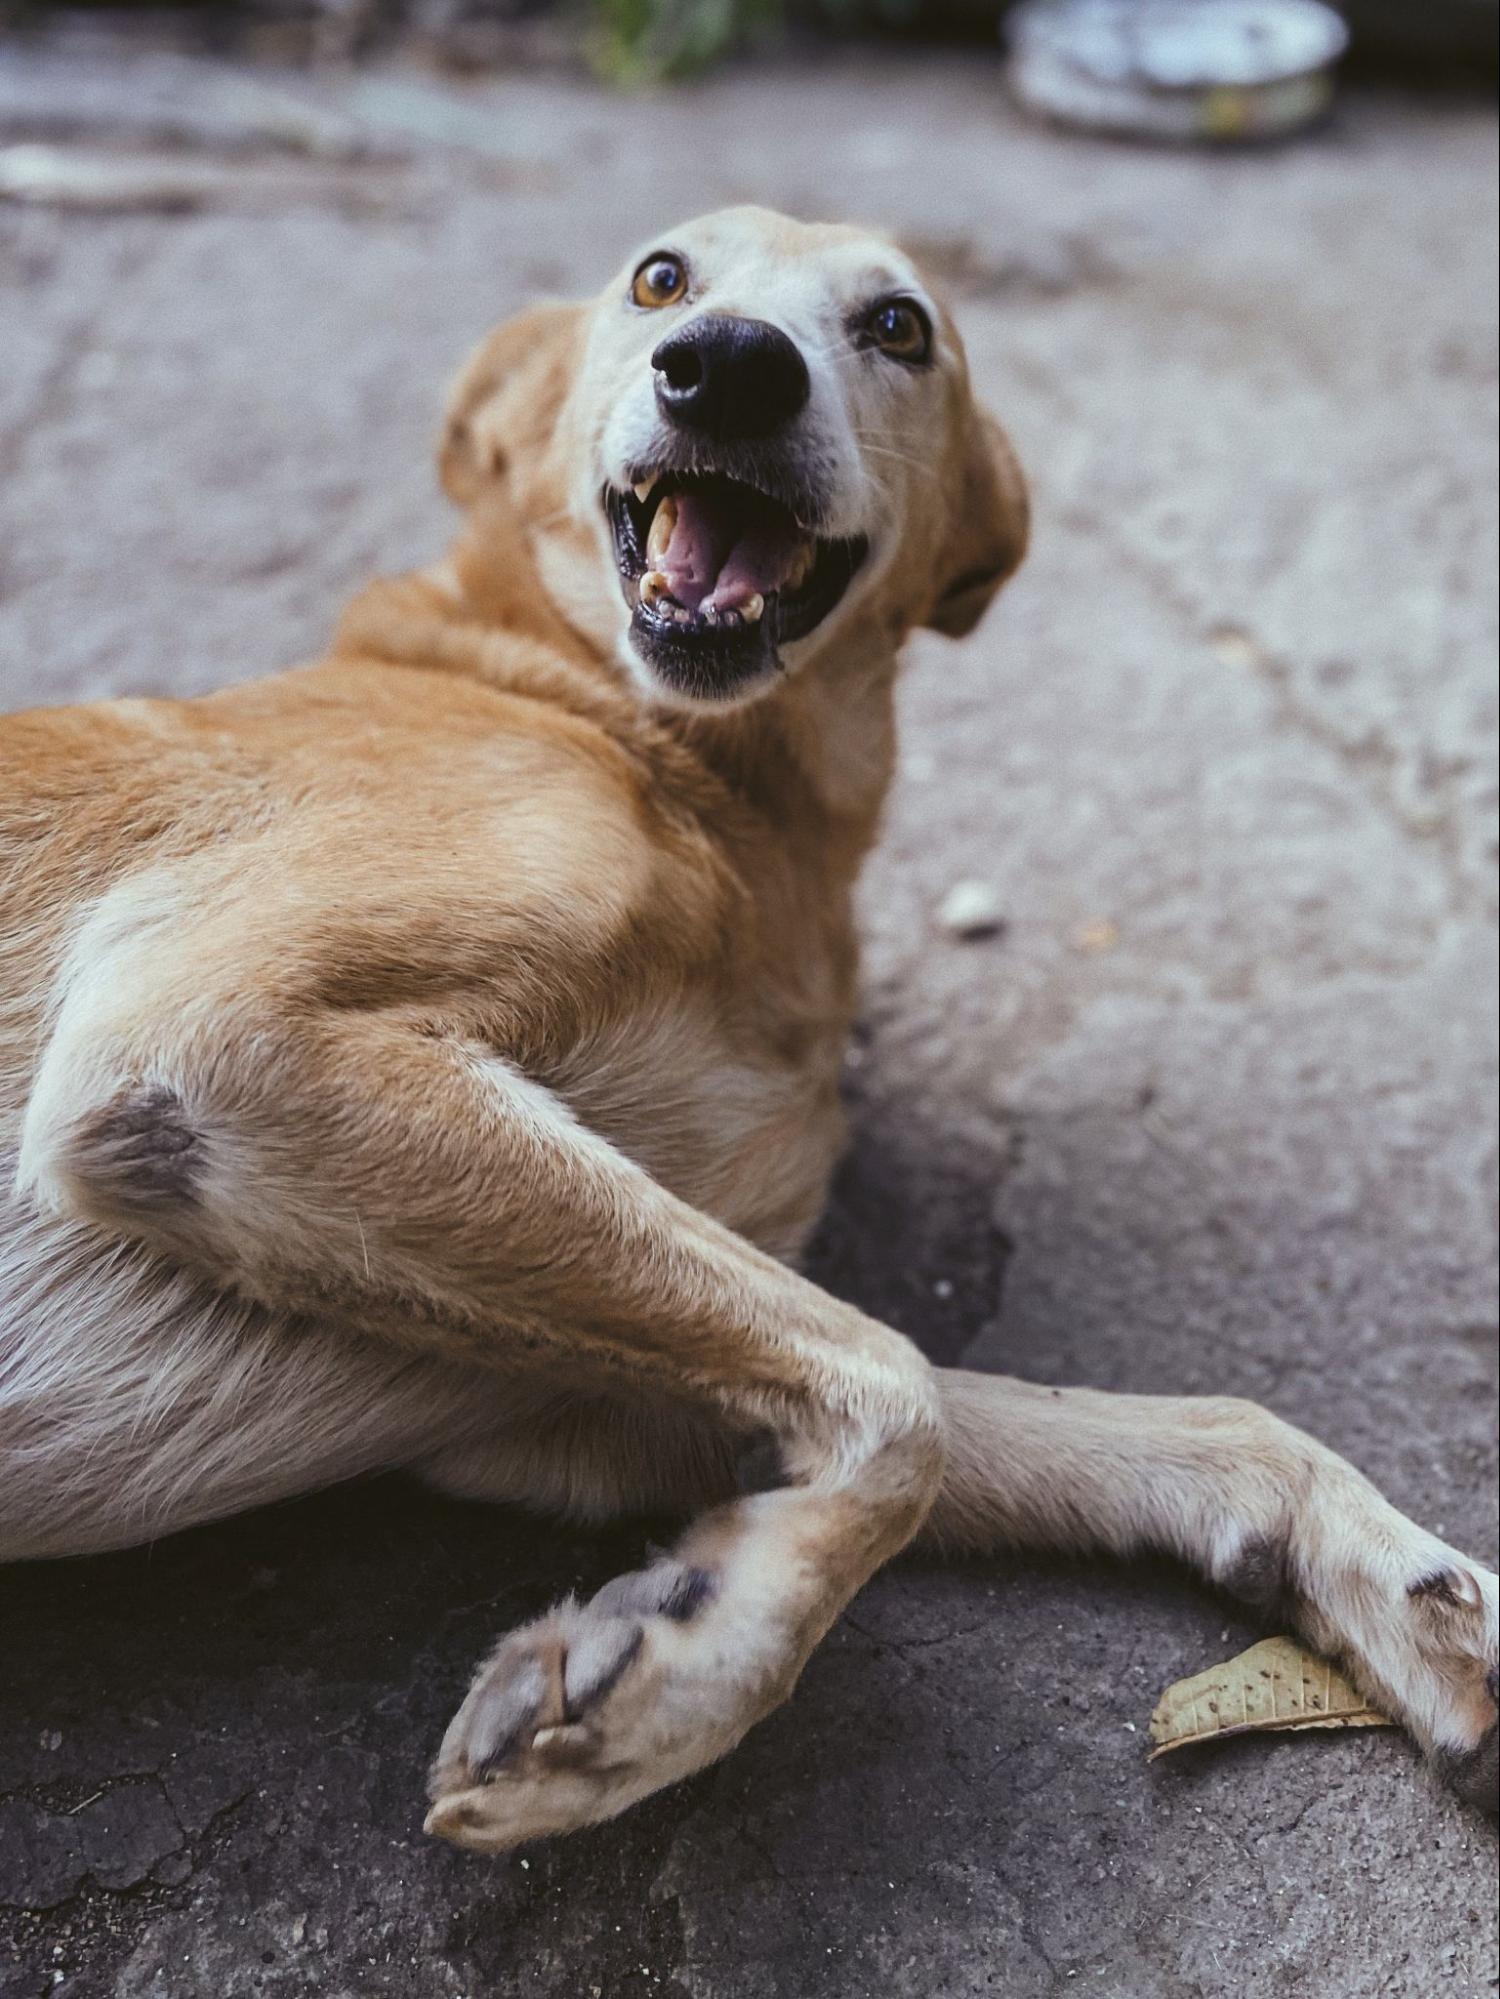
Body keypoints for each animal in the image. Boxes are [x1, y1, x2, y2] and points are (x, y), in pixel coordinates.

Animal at [0, 202, 1496, 1839]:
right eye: (662, 276)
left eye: (900, 324)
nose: (725, 366)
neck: (687, 770)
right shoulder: (207, 1042)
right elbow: (898, 1394)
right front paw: (680, 1670)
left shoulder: (567, 1409)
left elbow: (1186, 1423)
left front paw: (1400, 1584)